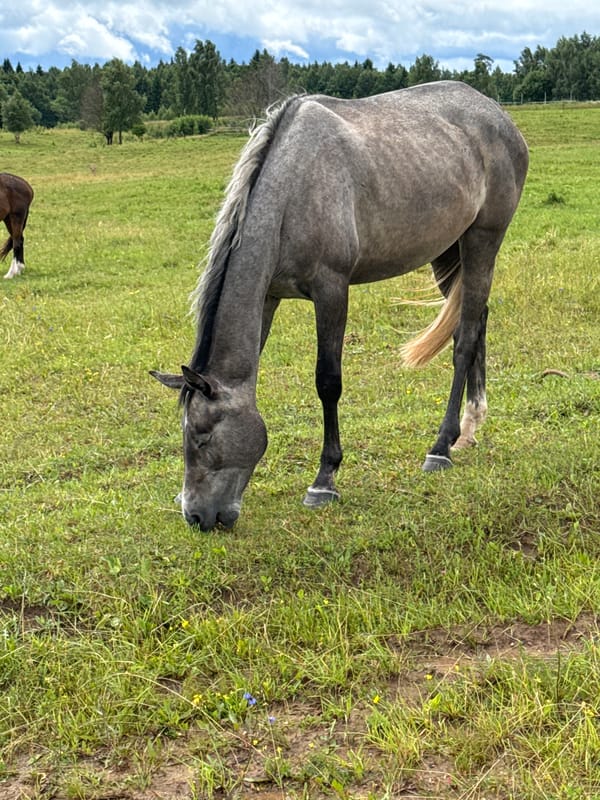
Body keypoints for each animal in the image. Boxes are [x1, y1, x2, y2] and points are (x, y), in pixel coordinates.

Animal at [151, 81, 529, 531]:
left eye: (202, 437)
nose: (195, 515)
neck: (292, 191)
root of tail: (497, 115)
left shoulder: (331, 290)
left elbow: (328, 382)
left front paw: (324, 480)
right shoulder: (269, 297)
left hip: (483, 240)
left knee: (466, 338)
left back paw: (440, 446)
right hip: (448, 252)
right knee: (475, 321)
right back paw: (469, 428)